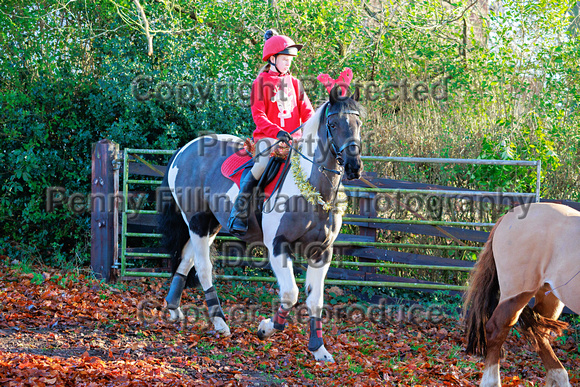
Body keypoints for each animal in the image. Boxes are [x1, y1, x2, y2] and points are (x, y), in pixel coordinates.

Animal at [156, 86, 364, 362]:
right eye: (332, 124)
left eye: (358, 124)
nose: (354, 166)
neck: (311, 190)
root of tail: (184, 150)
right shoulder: (278, 245)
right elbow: (290, 294)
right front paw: (267, 328)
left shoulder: (321, 252)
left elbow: (315, 300)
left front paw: (319, 349)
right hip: (197, 222)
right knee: (202, 267)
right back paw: (220, 323)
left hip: (210, 226)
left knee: (187, 258)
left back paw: (173, 308)